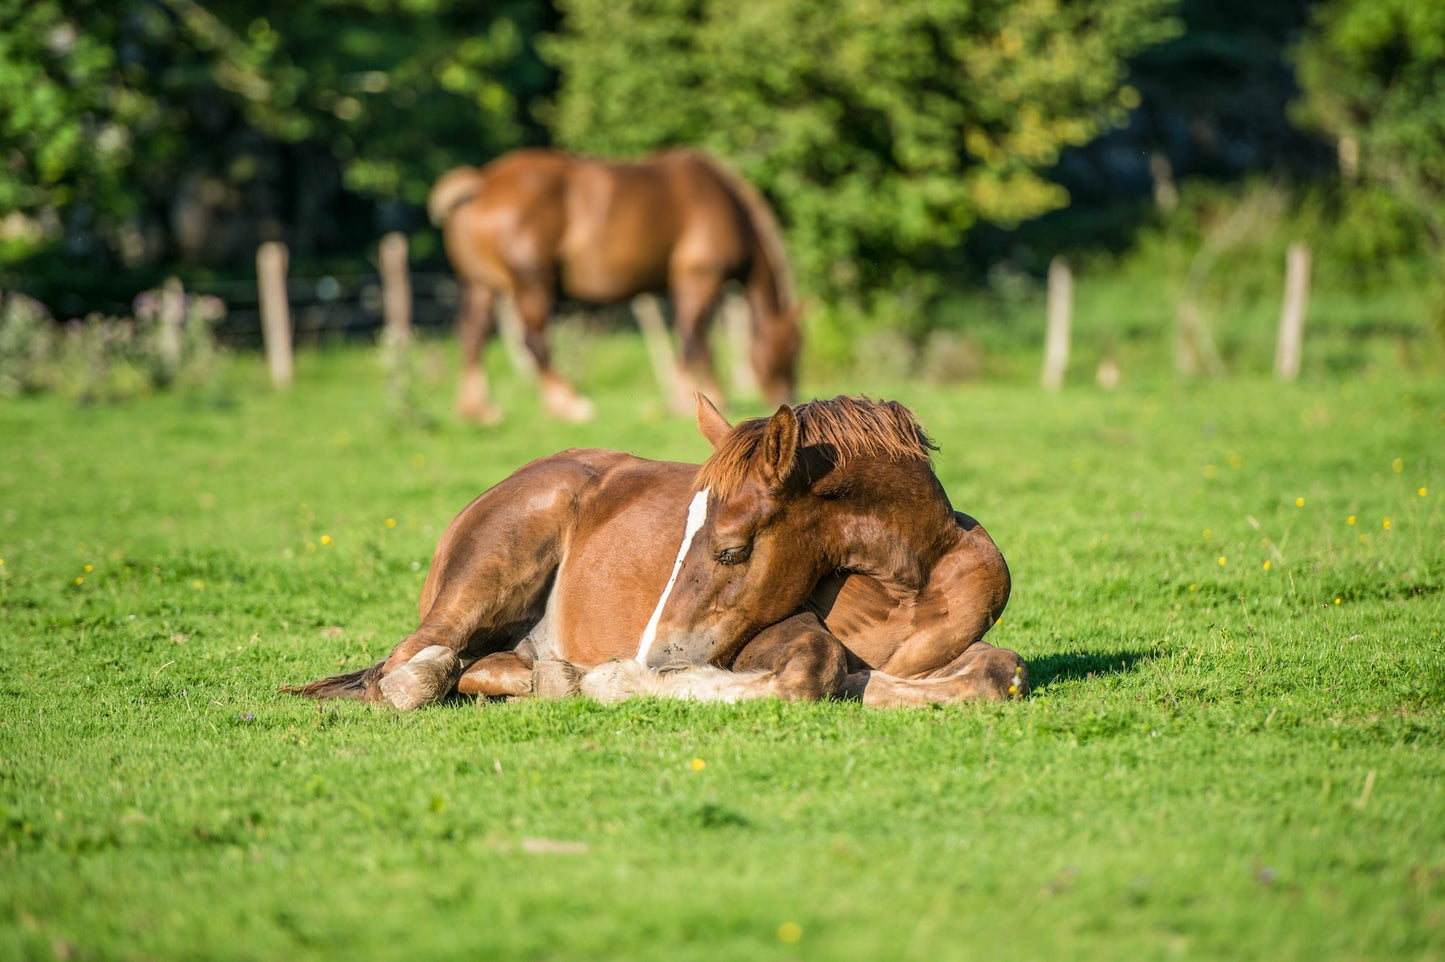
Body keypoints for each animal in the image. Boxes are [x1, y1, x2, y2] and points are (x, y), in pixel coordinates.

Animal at [287, 392, 1023, 707]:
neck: (906, 590)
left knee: (476, 667)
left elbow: (999, 671)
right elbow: (811, 672)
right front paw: (617, 680)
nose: (653, 653)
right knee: (406, 667)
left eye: (731, 551)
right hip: (482, 583)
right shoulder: (764, 637)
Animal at [421, 148, 809, 421]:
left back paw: (479, 409)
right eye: (793, 346)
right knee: (534, 339)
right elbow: (692, 338)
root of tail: (480, 184)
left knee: (473, 333)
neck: (723, 202)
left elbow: (701, 342)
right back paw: (568, 402)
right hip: (532, 283)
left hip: (482, 285)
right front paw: (689, 398)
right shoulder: (699, 279)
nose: (789, 396)